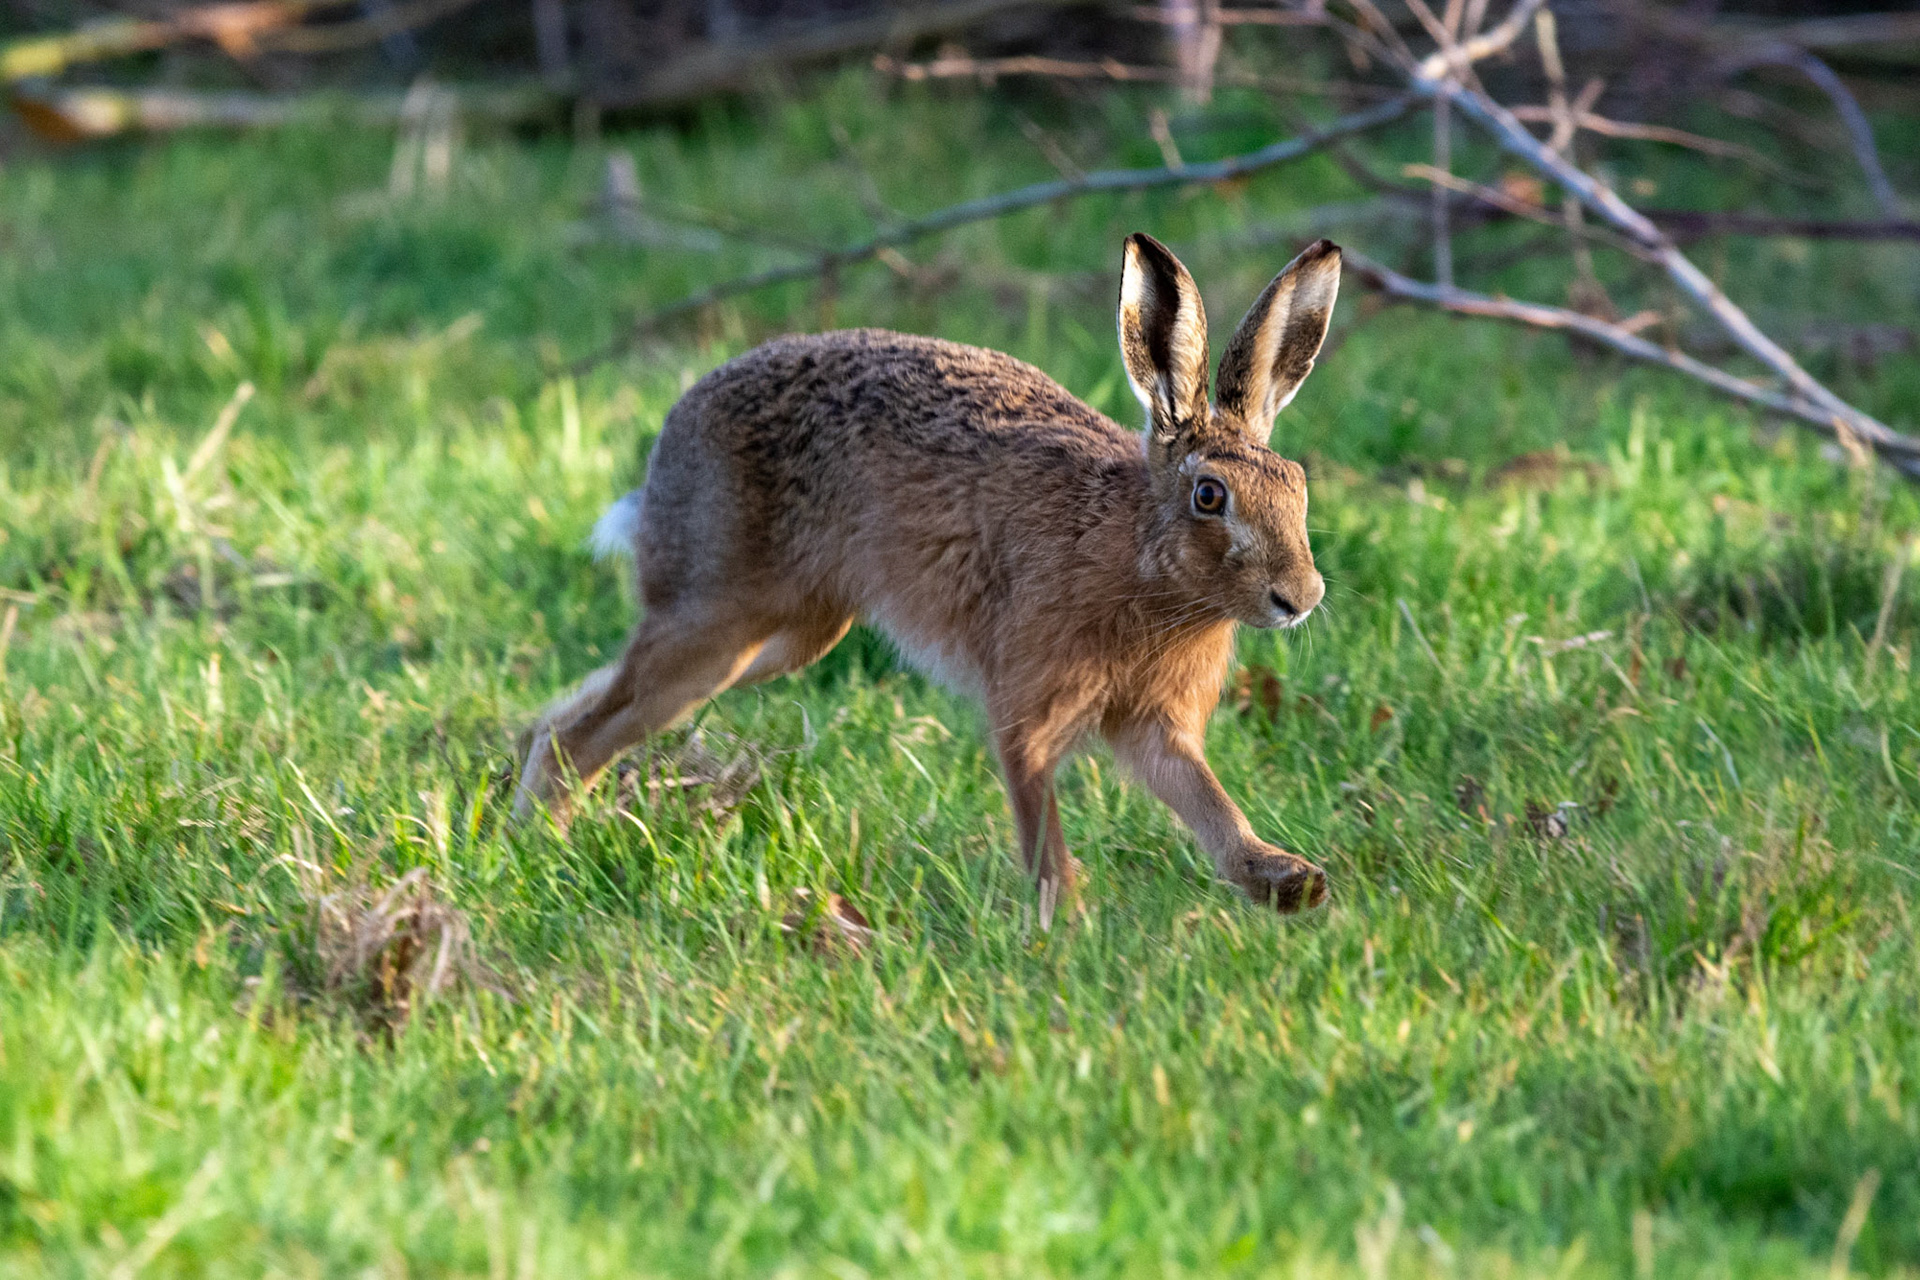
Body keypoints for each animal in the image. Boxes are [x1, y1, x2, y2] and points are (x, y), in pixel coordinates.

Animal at [514, 233, 1339, 924]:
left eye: (1296, 486)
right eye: (1210, 496)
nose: (1300, 598)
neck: (1141, 556)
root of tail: (676, 426)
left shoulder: (1155, 724)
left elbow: (1207, 801)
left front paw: (1285, 880)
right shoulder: (1028, 701)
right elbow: (1038, 812)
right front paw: (1064, 924)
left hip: (786, 638)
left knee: (590, 708)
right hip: (715, 620)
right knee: (590, 726)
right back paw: (537, 840)